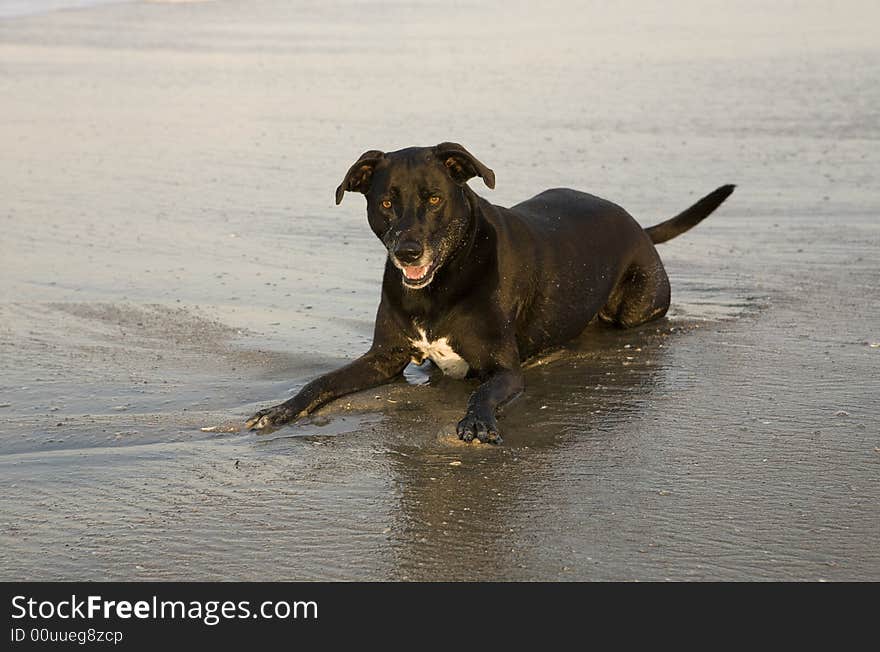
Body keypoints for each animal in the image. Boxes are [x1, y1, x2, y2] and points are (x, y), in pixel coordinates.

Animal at [244, 143, 732, 444]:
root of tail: (639, 227)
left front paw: (477, 423)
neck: (438, 285)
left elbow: (481, 393)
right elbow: (321, 381)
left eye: (434, 199)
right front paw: (280, 410)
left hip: (637, 305)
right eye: (385, 203)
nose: (407, 252)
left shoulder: (505, 370)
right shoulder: (383, 357)